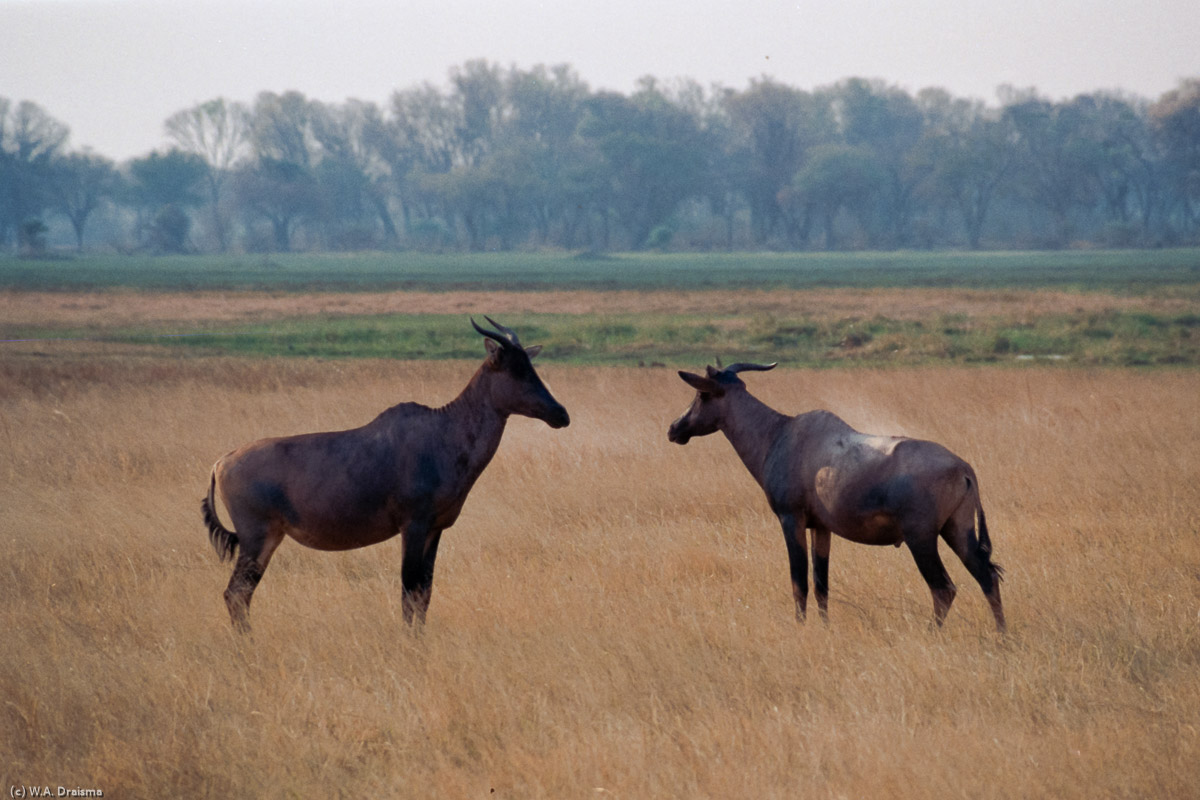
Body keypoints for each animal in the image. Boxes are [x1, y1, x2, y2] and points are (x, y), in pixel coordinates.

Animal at [200, 316, 566, 633]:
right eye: (515, 370)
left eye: (530, 364)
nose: (561, 415)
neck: (441, 431)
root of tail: (221, 463)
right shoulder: (412, 526)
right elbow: (408, 591)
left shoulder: (436, 530)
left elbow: (425, 593)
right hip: (257, 538)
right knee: (236, 593)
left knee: (239, 594)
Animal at [667, 362, 1003, 633]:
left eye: (702, 395)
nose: (674, 429)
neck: (781, 433)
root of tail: (963, 468)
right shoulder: (821, 527)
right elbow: (821, 585)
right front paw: (825, 628)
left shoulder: (791, 519)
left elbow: (799, 582)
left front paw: (800, 628)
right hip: (957, 530)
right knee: (987, 576)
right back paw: (1002, 637)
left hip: (921, 537)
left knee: (944, 588)